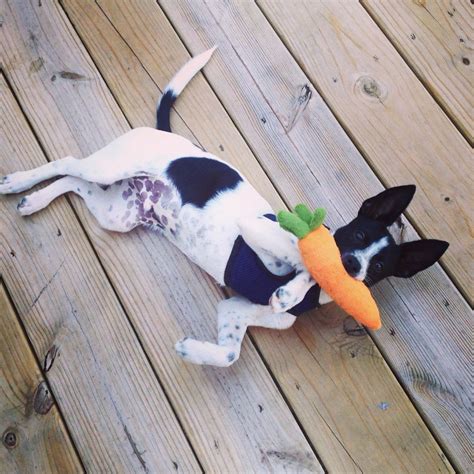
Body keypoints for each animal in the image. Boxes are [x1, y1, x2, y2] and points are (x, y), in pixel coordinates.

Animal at [0, 48, 448, 366]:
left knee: (73, 182)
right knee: (66, 163)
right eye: (356, 233)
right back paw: (19, 182)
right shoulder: (259, 229)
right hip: (111, 166)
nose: (351, 266)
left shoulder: (234, 310)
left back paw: (34, 200)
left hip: (118, 214)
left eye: (379, 267)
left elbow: (230, 354)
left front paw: (192, 351)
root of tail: (169, 138)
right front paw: (294, 283)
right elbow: (302, 258)